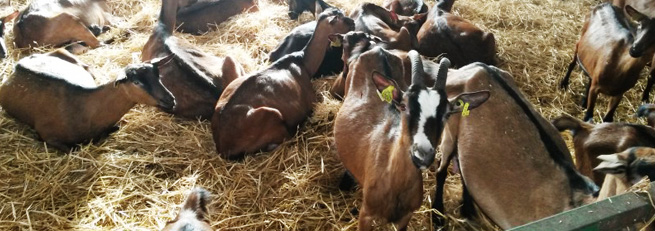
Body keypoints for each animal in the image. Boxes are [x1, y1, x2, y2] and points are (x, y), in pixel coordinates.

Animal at [0, 49, 174, 152]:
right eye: (136, 82)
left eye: (157, 75)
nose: (171, 100)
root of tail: (20, 63)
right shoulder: (49, 135)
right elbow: (74, 148)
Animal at [210, 8, 354, 159]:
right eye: (341, 18)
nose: (353, 22)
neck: (303, 61)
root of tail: (222, 145)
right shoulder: (311, 100)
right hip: (271, 115)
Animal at [336, 47, 490, 230]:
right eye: (403, 106)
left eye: (447, 113)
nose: (422, 155)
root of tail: (378, 49)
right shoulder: (366, 214)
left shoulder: (405, 217)